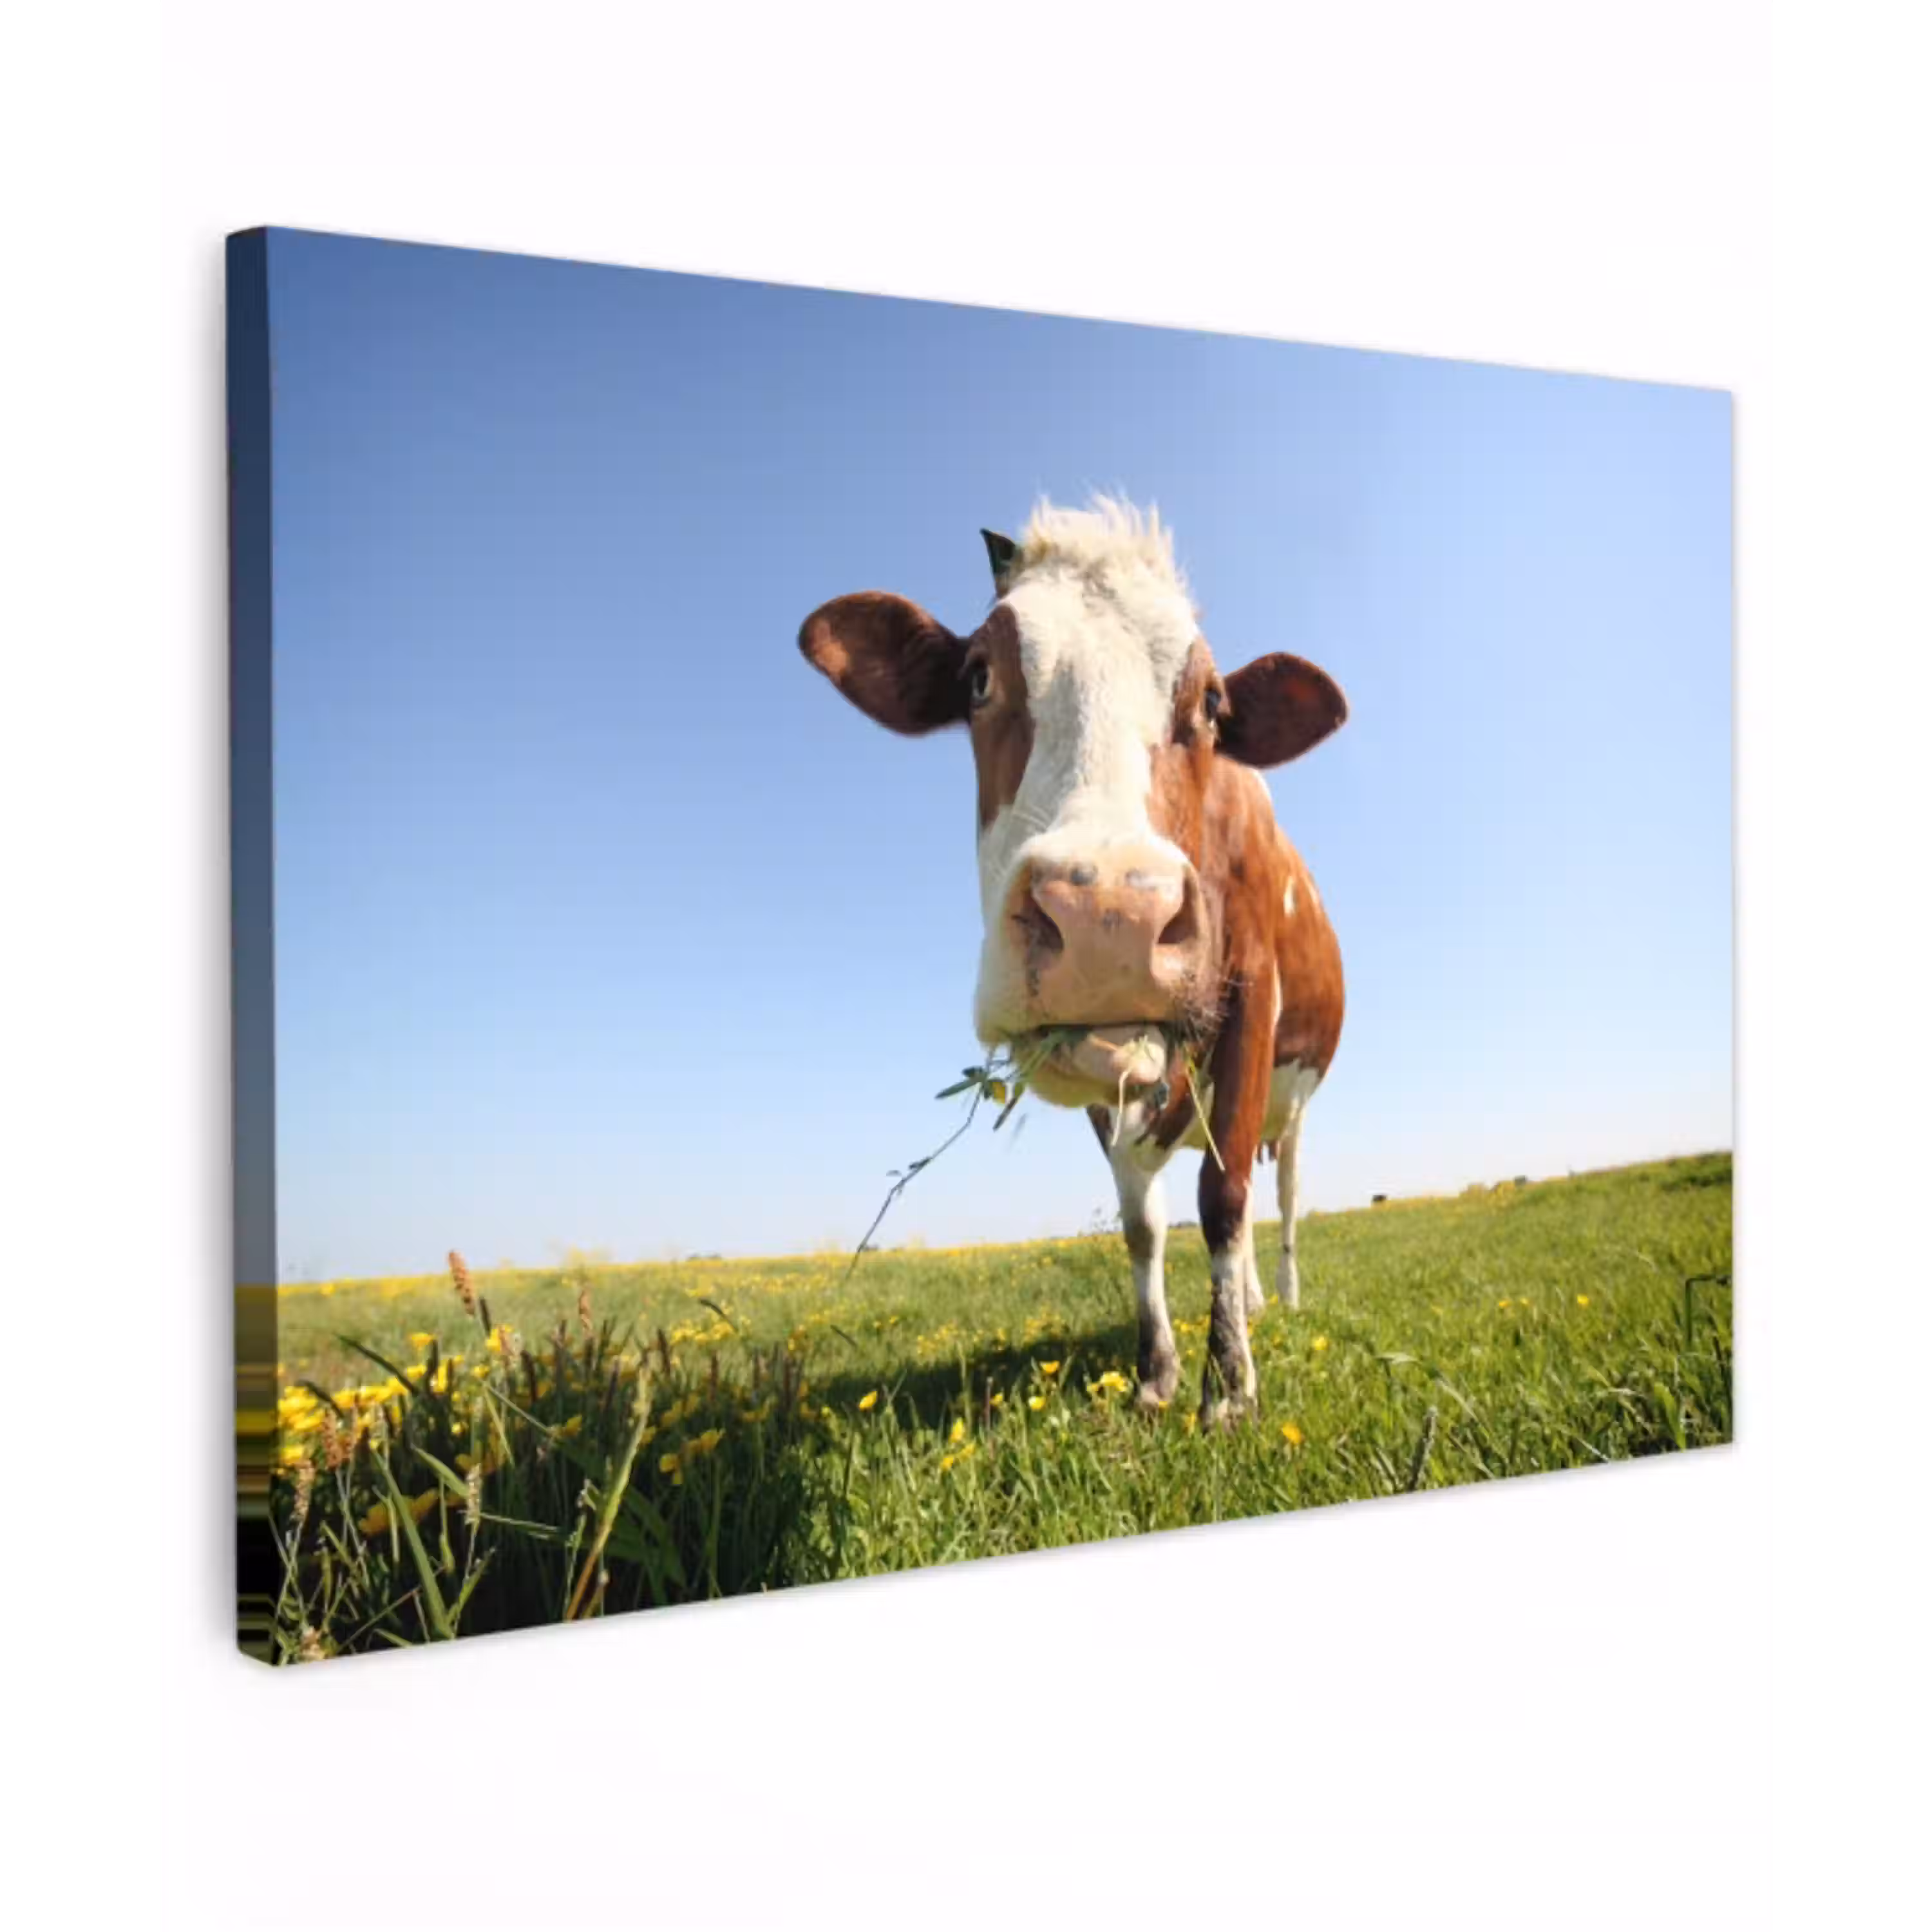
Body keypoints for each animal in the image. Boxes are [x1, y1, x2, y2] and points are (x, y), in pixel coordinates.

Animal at [797, 497, 1346, 1426]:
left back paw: (1283, 1297)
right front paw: (1160, 1373)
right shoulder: (1097, 1066)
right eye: (978, 678)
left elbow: (1226, 1199)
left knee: (1281, 1198)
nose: (1108, 917)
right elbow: (1142, 1221)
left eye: (1212, 702)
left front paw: (1230, 1388)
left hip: (1298, 1103)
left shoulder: (1252, 1000)